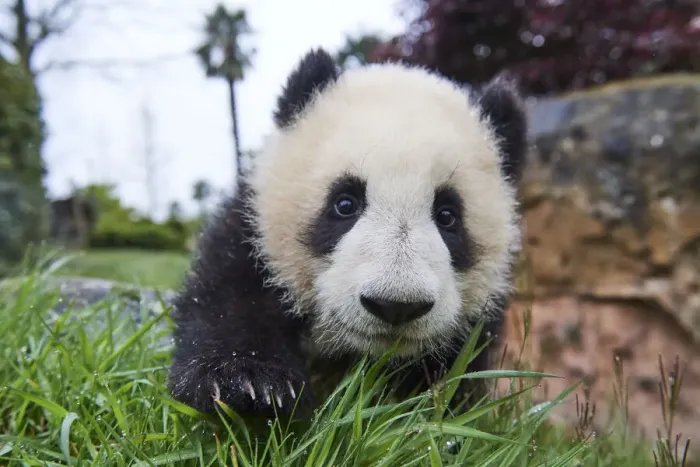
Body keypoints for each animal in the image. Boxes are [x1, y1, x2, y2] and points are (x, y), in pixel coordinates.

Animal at [168, 47, 527, 418]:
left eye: (447, 216)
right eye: (345, 204)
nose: (396, 306)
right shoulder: (253, 231)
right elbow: (228, 298)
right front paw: (251, 386)